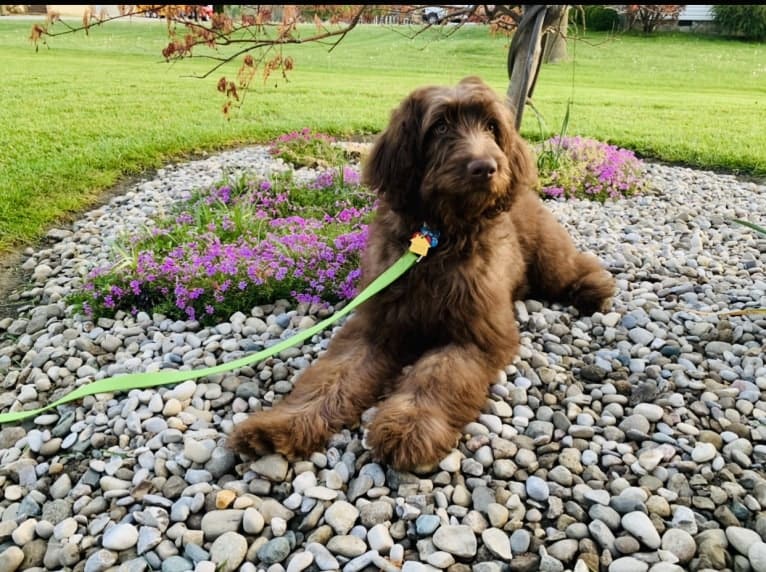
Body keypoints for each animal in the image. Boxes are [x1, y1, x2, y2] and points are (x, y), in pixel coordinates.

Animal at [230, 75, 616, 470]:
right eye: (440, 126)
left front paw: (409, 426)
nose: (486, 167)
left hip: (546, 253)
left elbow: (438, 377)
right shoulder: (374, 324)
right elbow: (331, 376)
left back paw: (592, 287)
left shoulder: (472, 335)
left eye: (492, 127)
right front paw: (281, 425)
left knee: (570, 265)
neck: (438, 240)